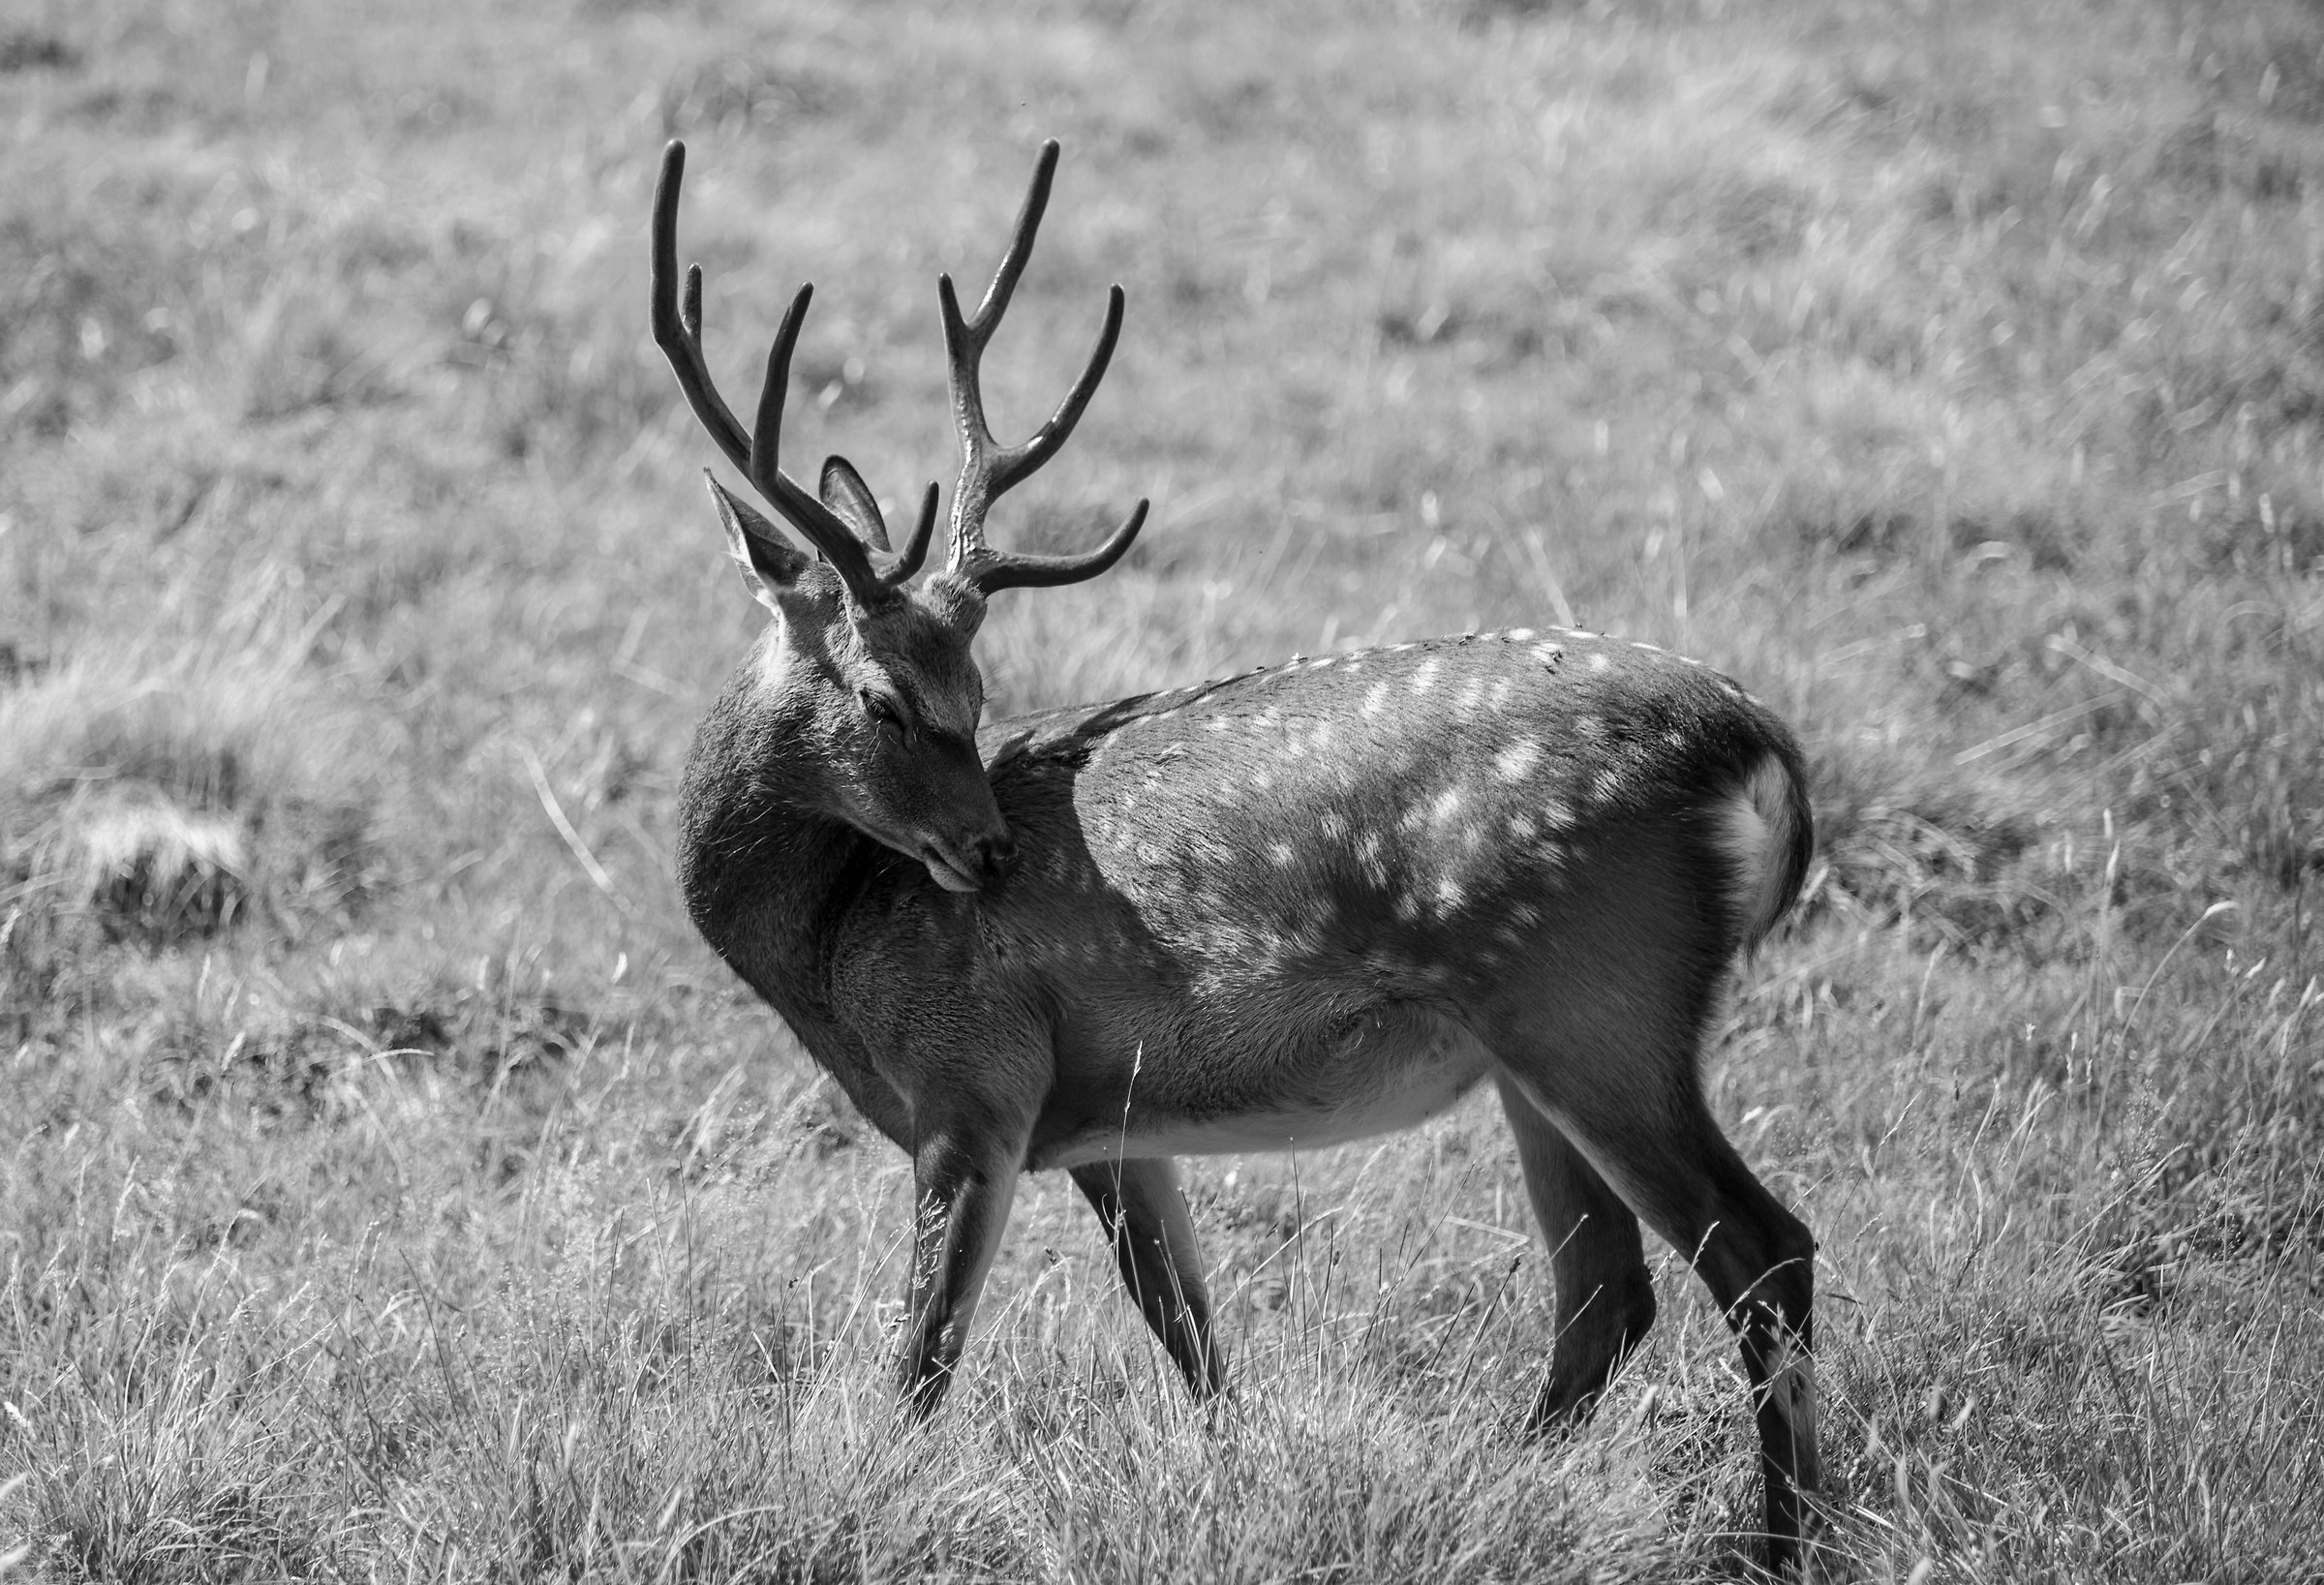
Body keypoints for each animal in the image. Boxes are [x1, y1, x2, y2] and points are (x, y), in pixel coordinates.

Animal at [651, 137, 1823, 1572]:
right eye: (892, 697)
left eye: (969, 693)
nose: (987, 851)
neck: (833, 960)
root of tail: (1761, 747)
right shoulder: (1107, 1118)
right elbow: (1192, 1336)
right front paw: (1231, 1476)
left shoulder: (971, 1085)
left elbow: (922, 1363)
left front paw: (878, 1505)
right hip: (1536, 1045)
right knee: (1607, 1286)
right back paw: (1503, 1487)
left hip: (1596, 999)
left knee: (1761, 1251)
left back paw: (1788, 1539)